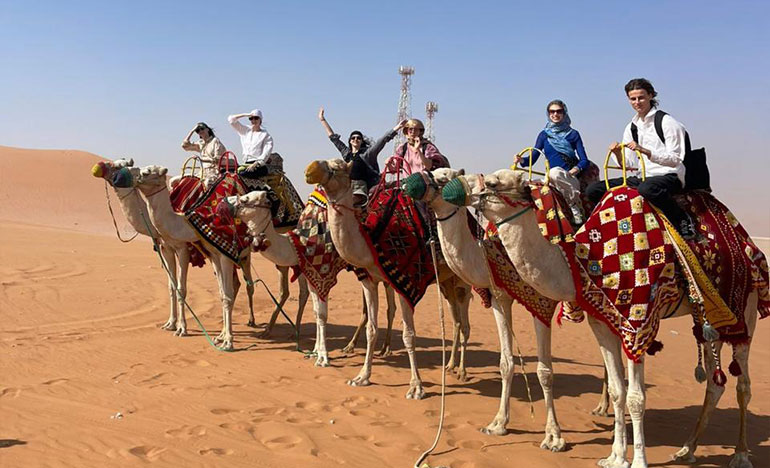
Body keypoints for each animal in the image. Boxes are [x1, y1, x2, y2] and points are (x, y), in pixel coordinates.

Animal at [305, 158, 472, 400]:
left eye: (336, 167)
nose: (310, 170)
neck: (369, 240)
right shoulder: (369, 281)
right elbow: (371, 329)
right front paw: (362, 377)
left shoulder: (406, 283)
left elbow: (409, 335)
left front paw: (416, 387)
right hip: (446, 282)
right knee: (456, 320)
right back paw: (449, 366)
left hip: (463, 280)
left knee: (465, 322)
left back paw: (462, 371)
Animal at [450, 169, 759, 468]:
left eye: (492, 182)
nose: (458, 188)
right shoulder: (598, 320)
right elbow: (617, 389)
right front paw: (615, 457)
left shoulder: (637, 323)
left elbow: (636, 397)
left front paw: (636, 462)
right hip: (708, 321)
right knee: (714, 382)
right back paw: (687, 449)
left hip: (746, 309)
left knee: (743, 384)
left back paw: (741, 455)